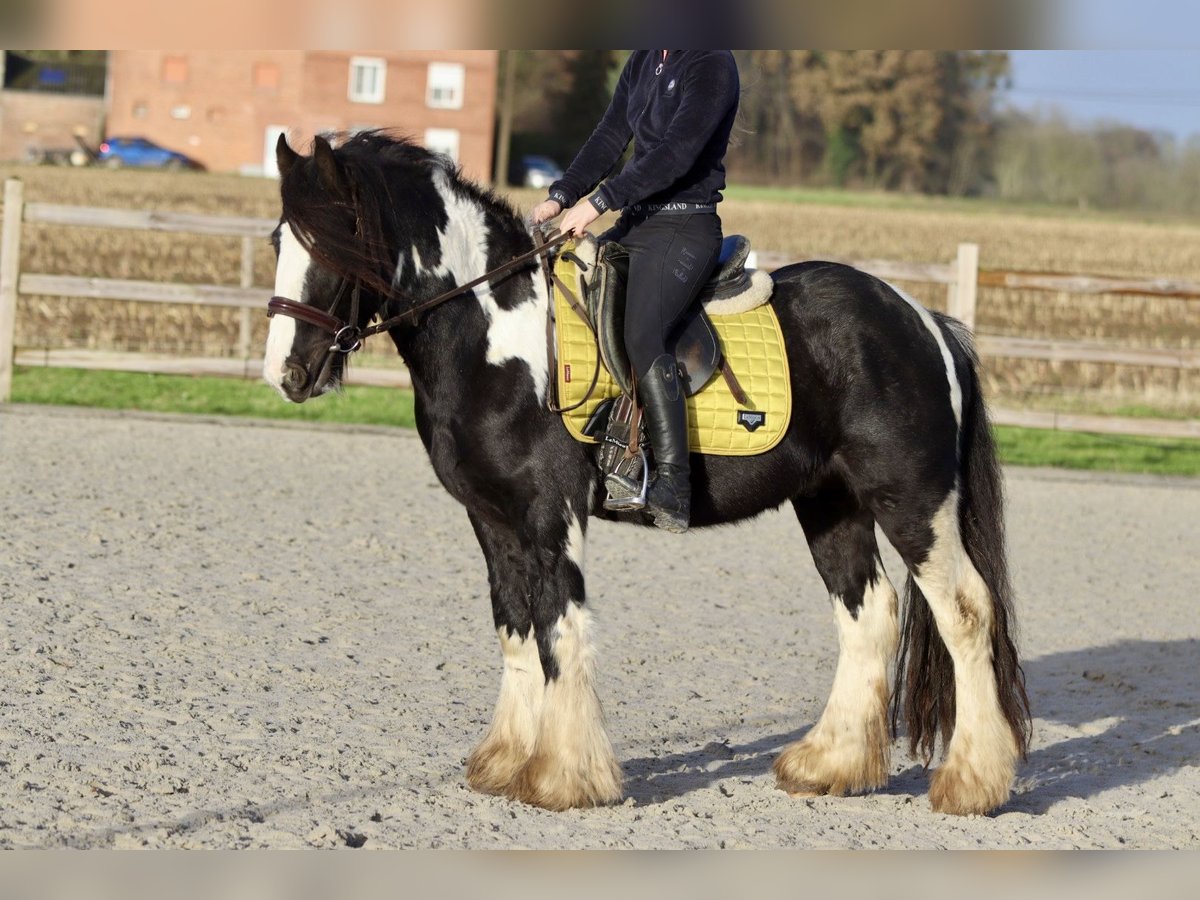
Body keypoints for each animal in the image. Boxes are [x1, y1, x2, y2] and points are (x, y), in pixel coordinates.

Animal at [262, 132, 1032, 816]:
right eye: (278, 243)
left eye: (335, 240)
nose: (287, 375)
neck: (496, 335)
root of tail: (923, 320)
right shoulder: (492, 517)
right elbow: (516, 629)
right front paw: (504, 762)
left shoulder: (550, 511)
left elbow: (561, 630)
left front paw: (563, 777)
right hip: (830, 504)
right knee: (870, 614)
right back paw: (829, 766)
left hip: (912, 500)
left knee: (966, 612)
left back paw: (970, 784)